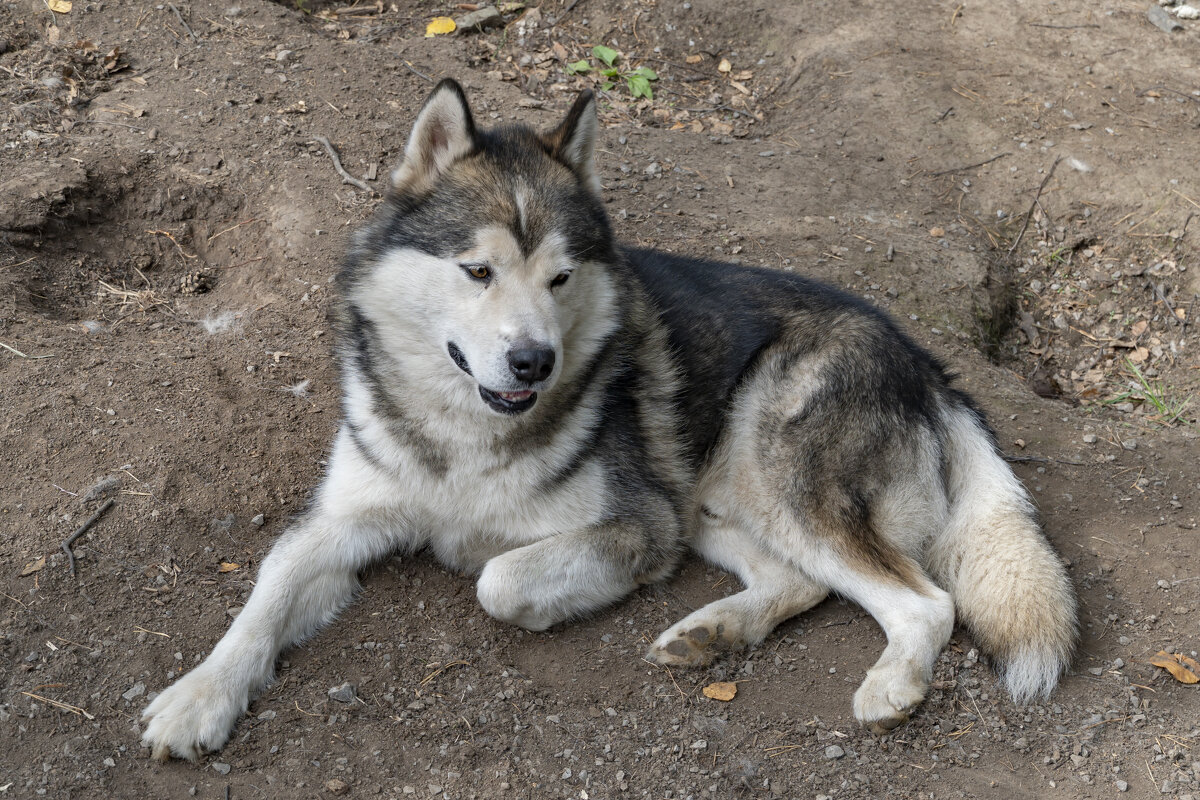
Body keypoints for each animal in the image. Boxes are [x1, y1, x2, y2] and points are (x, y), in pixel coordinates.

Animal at [140, 79, 1080, 762]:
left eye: (560, 277)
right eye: (477, 270)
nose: (533, 361)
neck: (463, 437)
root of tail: (928, 361)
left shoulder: (639, 525)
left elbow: (498, 578)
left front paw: (504, 572)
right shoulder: (338, 523)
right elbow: (264, 596)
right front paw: (197, 699)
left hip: (768, 475)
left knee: (924, 602)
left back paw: (891, 688)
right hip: (715, 502)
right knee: (803, 581)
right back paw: (712, 632)